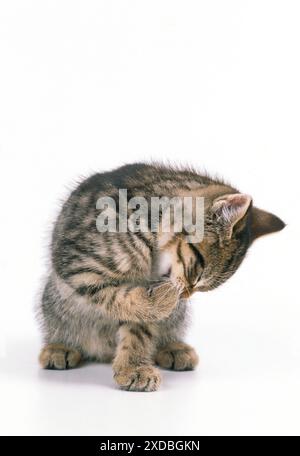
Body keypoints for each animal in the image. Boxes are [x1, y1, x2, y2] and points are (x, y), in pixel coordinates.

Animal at [38, 162, 286, 390]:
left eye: (201, 287)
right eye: (197, 272)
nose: (185, 295)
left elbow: (139, 328)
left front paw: (133, 368)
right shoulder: (78, 266)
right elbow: (118, 296)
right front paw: (162, 299)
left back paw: (173, 348)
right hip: (55, 301)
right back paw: (59, 347)